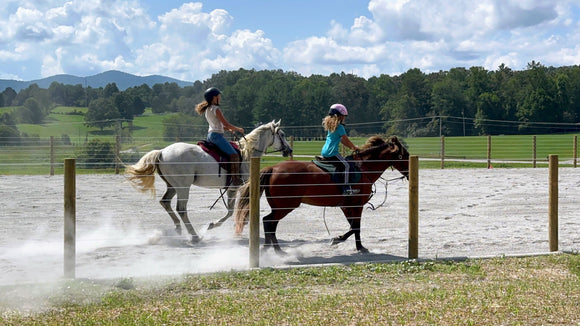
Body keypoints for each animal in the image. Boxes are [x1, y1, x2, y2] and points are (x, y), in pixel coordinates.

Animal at [124, 119, 292, 242]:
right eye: (282, 134)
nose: (289, 150)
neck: (247, 153)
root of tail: (162, 152)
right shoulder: (239, 188)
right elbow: (235, 211)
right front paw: (215, 226)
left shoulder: (231, 189)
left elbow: (230, 211)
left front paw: (216, 225)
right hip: (183, 187)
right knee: (181, 209)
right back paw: (194, 236)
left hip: (172, 186)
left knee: (165, 202)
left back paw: (178, 229)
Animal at [234, 135, 408, 255]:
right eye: (405, 155)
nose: (408, 173)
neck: (363, 168)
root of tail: (273, 168)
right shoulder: (356, 205)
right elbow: (355, 227)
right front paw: (343, 241)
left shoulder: (346, 206)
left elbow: (353, 226)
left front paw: (354, 245)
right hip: (285, 206)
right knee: (269, 222)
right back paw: (276, 250)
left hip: (279, 207)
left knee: (269, 223)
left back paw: (269, 248)